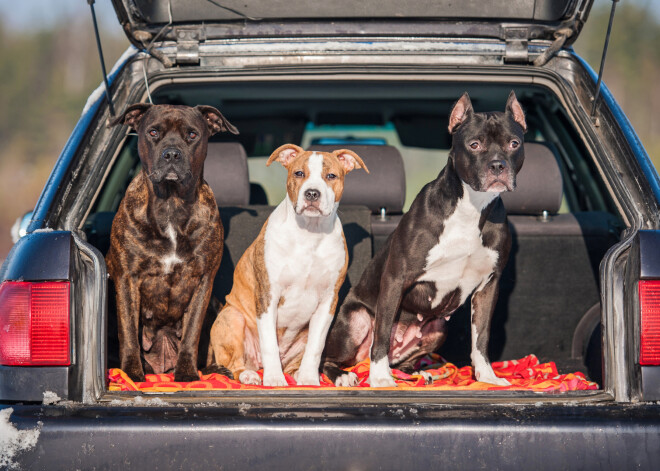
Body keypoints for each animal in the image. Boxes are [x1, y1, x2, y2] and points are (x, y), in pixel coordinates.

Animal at [209, 145, 368, 388]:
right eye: (299, 173)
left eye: (331, 176)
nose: (312, 193)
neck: (309, 233)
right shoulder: (267, 296)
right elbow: (269, 345)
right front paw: (274, 380)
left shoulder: (328, 301)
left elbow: (316, 347)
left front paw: (310, 379)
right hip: (232, 318)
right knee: (235, 363)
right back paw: (250, 375)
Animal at [324, 91, 524, 388]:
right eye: (474, 145)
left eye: (514, 143)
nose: (498, 165)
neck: (472, 207)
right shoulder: (396, 278)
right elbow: (381, 333)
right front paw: (380, 378)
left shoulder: (489, 285)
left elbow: (482, 337)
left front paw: (487, 377)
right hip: (354, 320)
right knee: (331, 358)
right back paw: (345, 375)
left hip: (438, 329)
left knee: (403, 361)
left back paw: (417, 374)